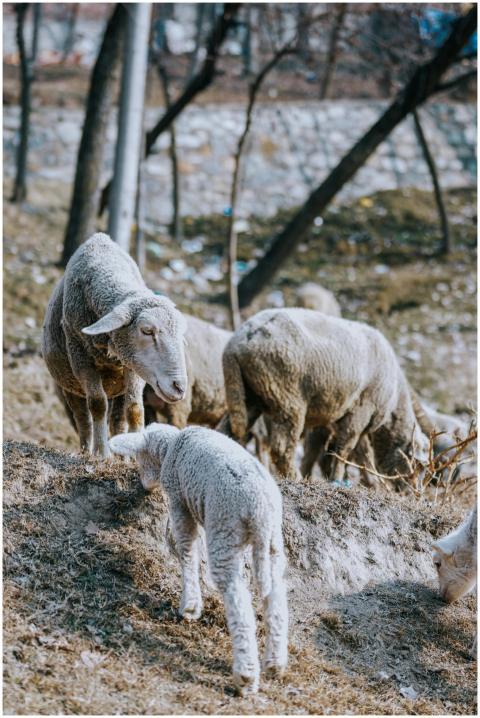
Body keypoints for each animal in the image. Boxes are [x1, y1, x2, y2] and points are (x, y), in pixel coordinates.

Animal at [42, 233, 188, 458]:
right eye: (147, 331)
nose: (179, 387)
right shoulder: (81, 360)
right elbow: (98, 404)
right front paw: (102, 453)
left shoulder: (133, 367)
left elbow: (135, 409)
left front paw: (134, 455)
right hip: (69, 385)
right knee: (83, 420)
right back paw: (87, 450)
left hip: (118, 388)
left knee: (118, 419)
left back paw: (122, 454)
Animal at [109, 423, 288, 696]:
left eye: (139, 458)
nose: (144, 486)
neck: (170, 446)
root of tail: (261, 511)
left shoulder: (178, 499)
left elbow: (187, 549)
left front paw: (190, 605)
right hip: (273, 543)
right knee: (276, 595)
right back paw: (275, 663)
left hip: (224, 528)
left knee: (238, 598)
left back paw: (245, 675)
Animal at [222, 308, 428, 483]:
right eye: (416, 465)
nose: (409, 492)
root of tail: (238, 343)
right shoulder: (361, 410)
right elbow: (345, 449)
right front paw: (337, 479)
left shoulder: (332, 417)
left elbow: (340, 451)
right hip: (285, 396)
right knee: (281, 449)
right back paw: (294, 477)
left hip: (248, 394)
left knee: (228, 429)